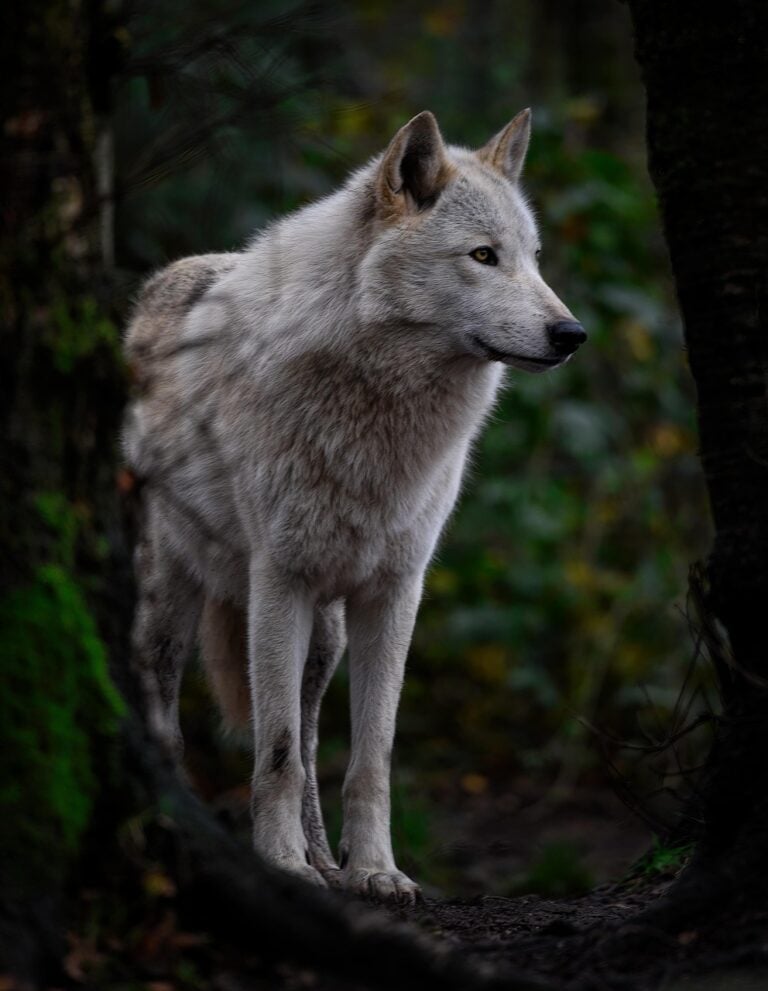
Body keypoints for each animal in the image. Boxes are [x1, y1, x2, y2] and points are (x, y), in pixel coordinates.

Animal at [122, 108, 585, 904]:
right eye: (483, 255)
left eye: (533, 259)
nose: (571, 334)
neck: (381, 416)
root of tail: (162, 280)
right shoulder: (279, 585)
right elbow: (274, 751)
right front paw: (282, 866)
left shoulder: (395, 594)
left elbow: (367, 757)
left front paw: (374, 870)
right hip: (169, 605)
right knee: (175, 725)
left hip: (326, 636)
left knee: (312, 739)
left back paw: (326, 860)